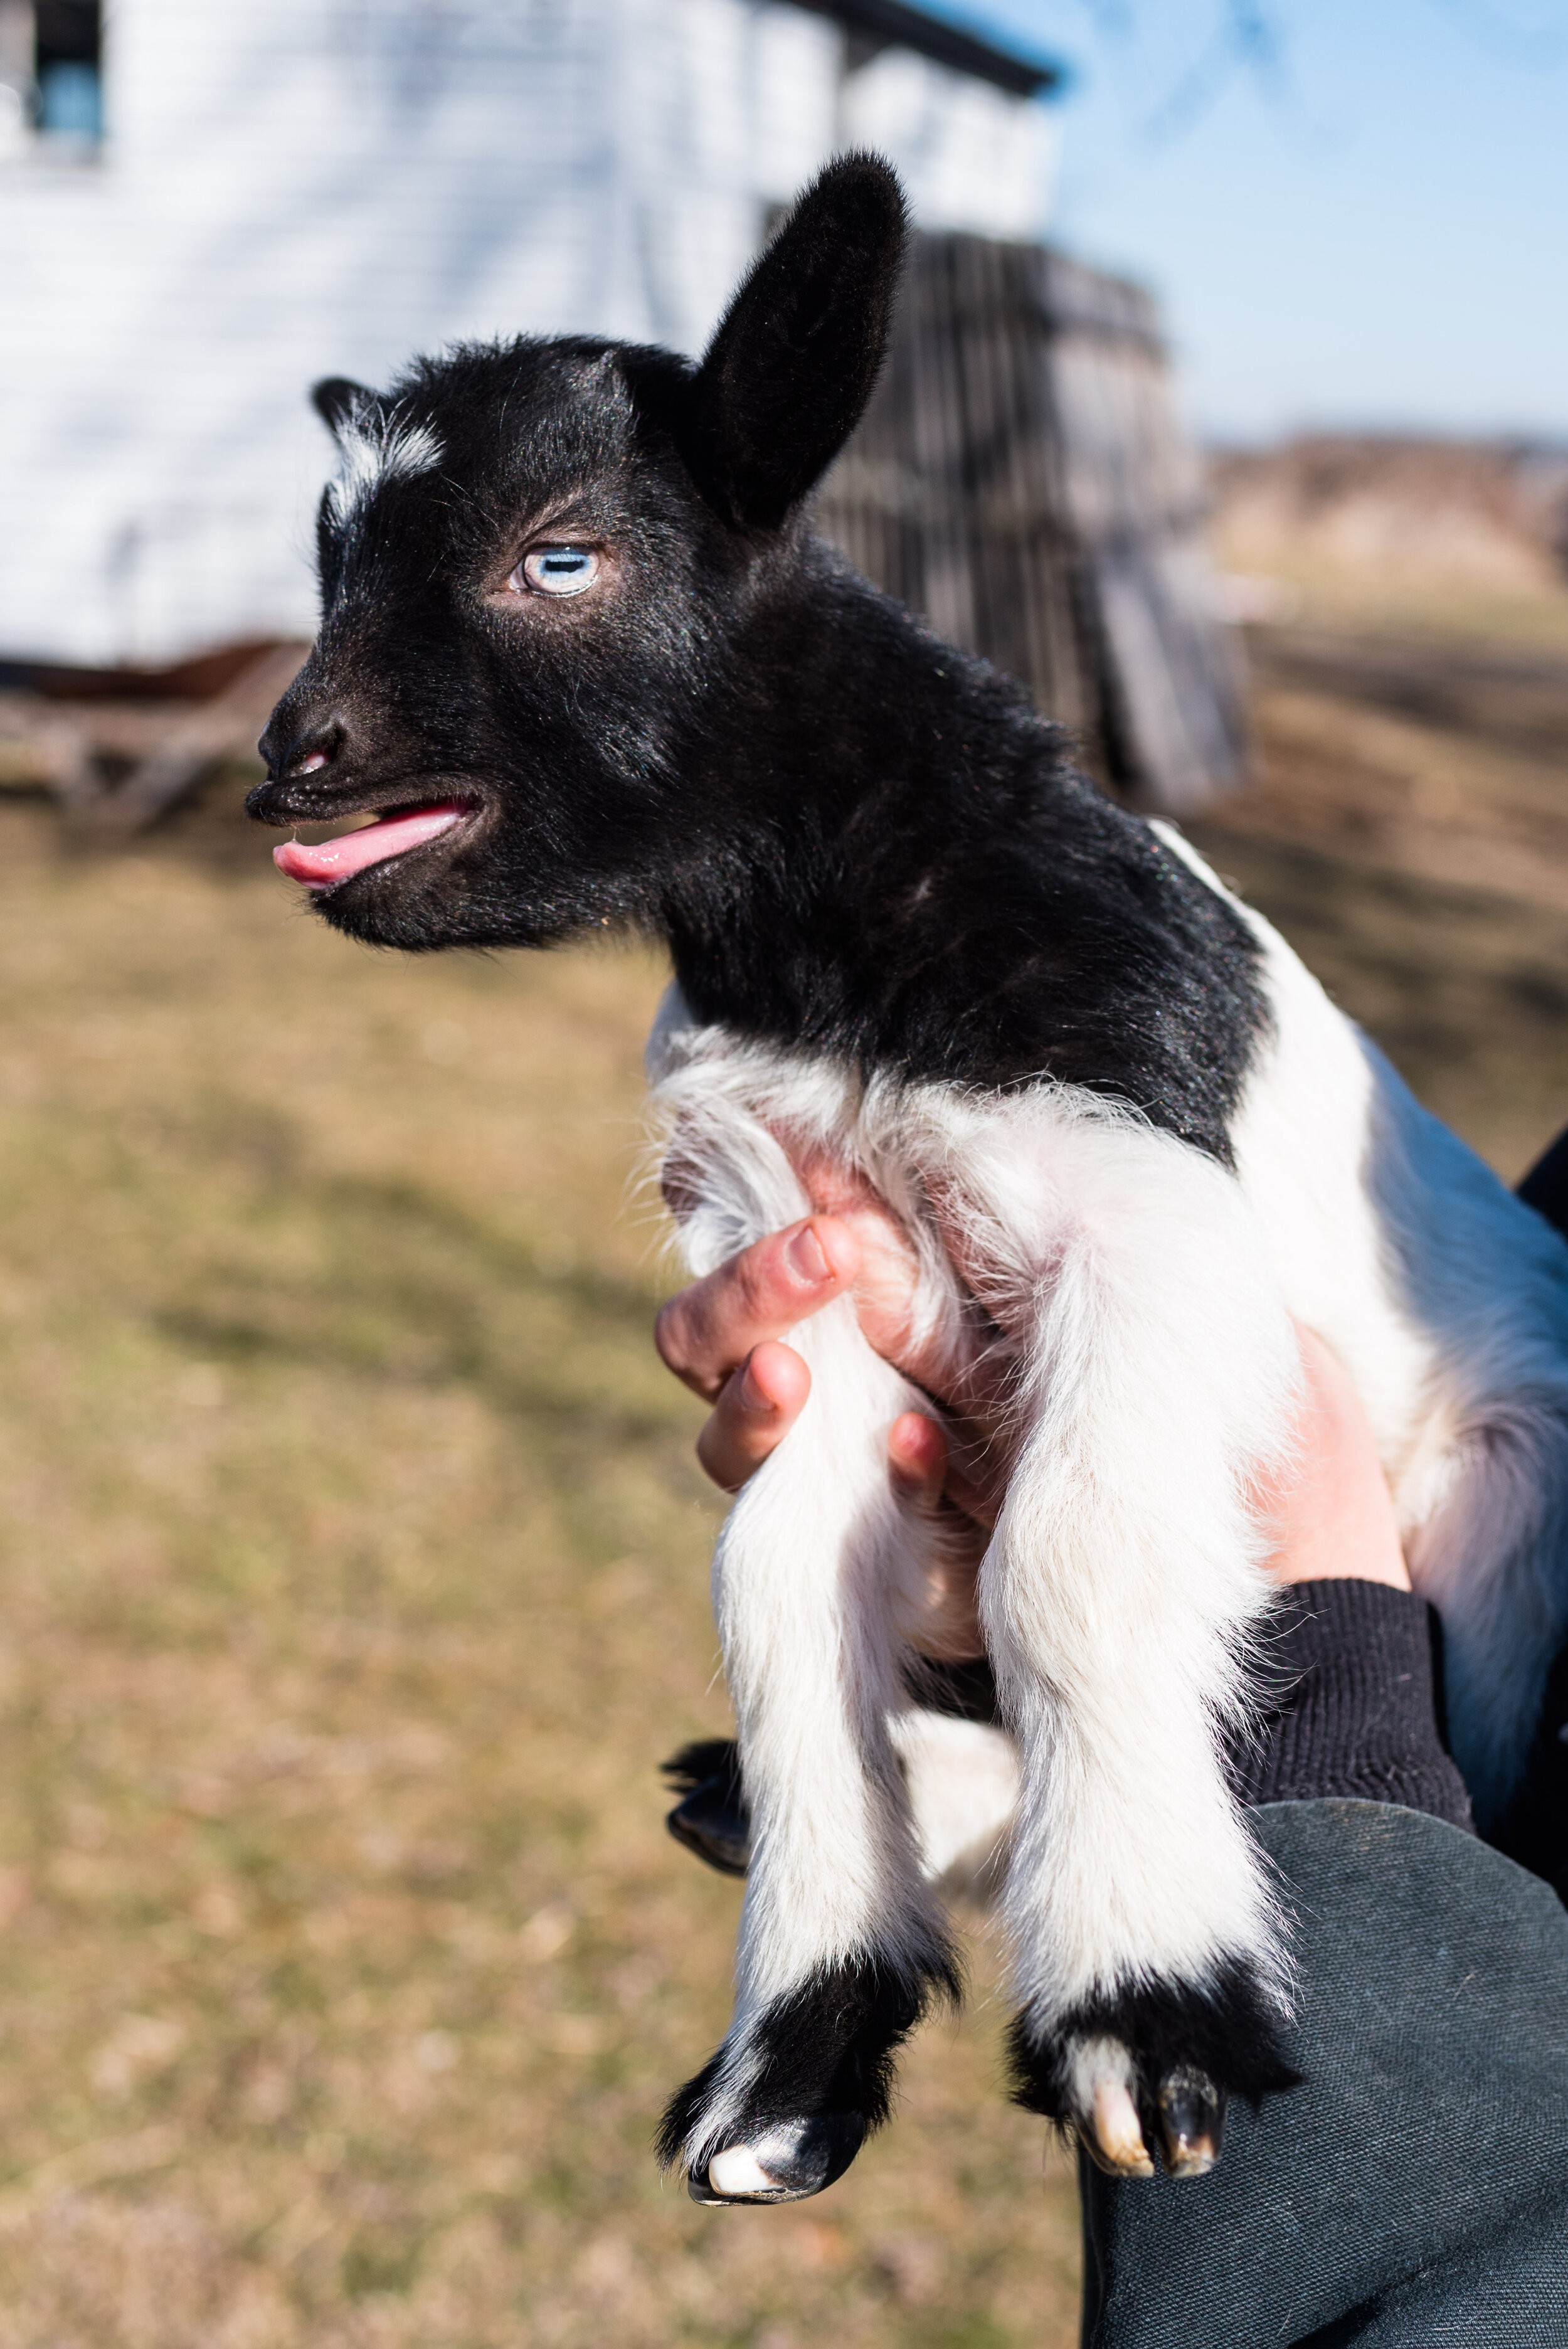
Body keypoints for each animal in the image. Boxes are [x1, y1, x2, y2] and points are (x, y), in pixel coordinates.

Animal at [251, 161, 1568, 2198]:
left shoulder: (1141, 1203)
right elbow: (785, 1599)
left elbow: (1067, 1565)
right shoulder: (792, 1261)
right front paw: (792, 2053)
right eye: (327, 562)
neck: (837, 945)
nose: (292, 756)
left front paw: (1143, 2002)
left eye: (560, 559)